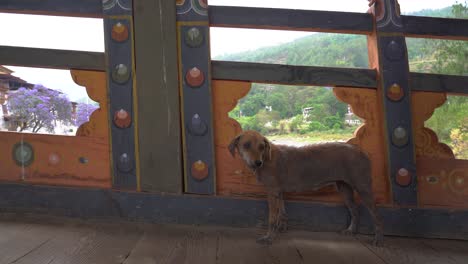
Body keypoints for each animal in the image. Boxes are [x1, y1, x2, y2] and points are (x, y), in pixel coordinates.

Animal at [228, 130, 384, 245]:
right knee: (355, 210)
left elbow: (272, 219)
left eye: (261, 146)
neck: (267, 157)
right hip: (344, 189)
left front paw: (269, 238)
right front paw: (281, 229)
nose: (258, 163)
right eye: (246, 145)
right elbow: (282, 214)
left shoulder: (272, 193)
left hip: (363, 188)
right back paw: (351, 230)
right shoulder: (279, 193)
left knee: (376, 215)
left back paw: (378, 238)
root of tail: (362, 152)